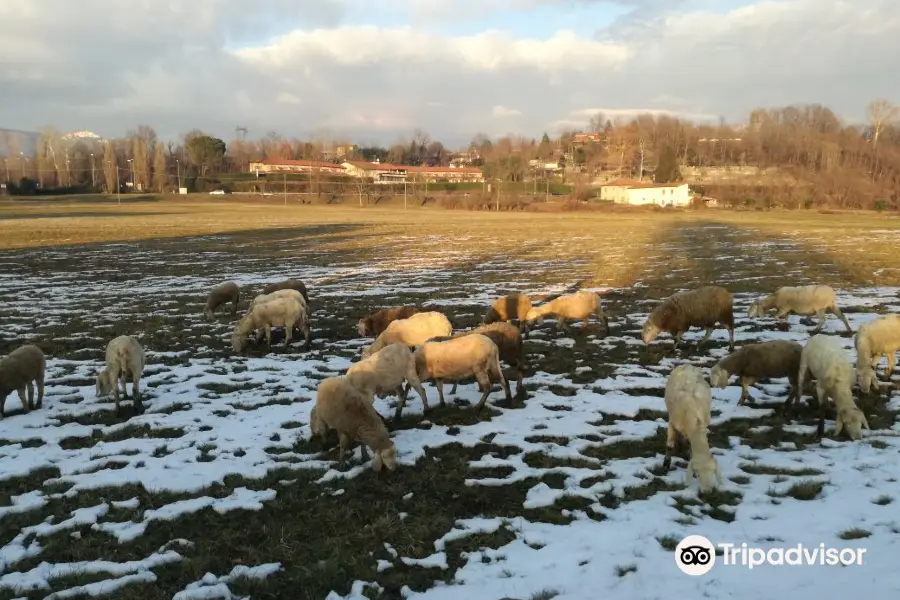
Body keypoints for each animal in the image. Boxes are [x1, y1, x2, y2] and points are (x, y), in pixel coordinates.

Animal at [660, 364, 724, 494]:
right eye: (698, 473)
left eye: (713, 473)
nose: (708, 491)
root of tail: (687, 365)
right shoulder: (672, 423)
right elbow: (669, 446)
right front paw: (666, 464)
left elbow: (690, 448)